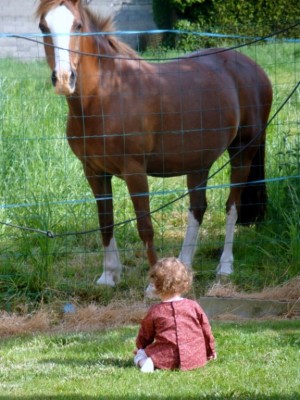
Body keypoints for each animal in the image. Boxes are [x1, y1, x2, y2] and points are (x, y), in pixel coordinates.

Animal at [36, 0, 274, 288]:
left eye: (78, 25)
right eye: (43, 26)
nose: (63, 78)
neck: (106, 97)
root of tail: (253, 69)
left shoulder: (135, 171)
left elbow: (145, 227)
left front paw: (152, 285)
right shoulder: (94, 172)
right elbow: (105, 221)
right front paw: (109, 275)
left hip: (243, 152)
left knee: (232, 206)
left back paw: (225, 267)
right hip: (198, 161)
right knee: (198, 208)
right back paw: (184, 266)